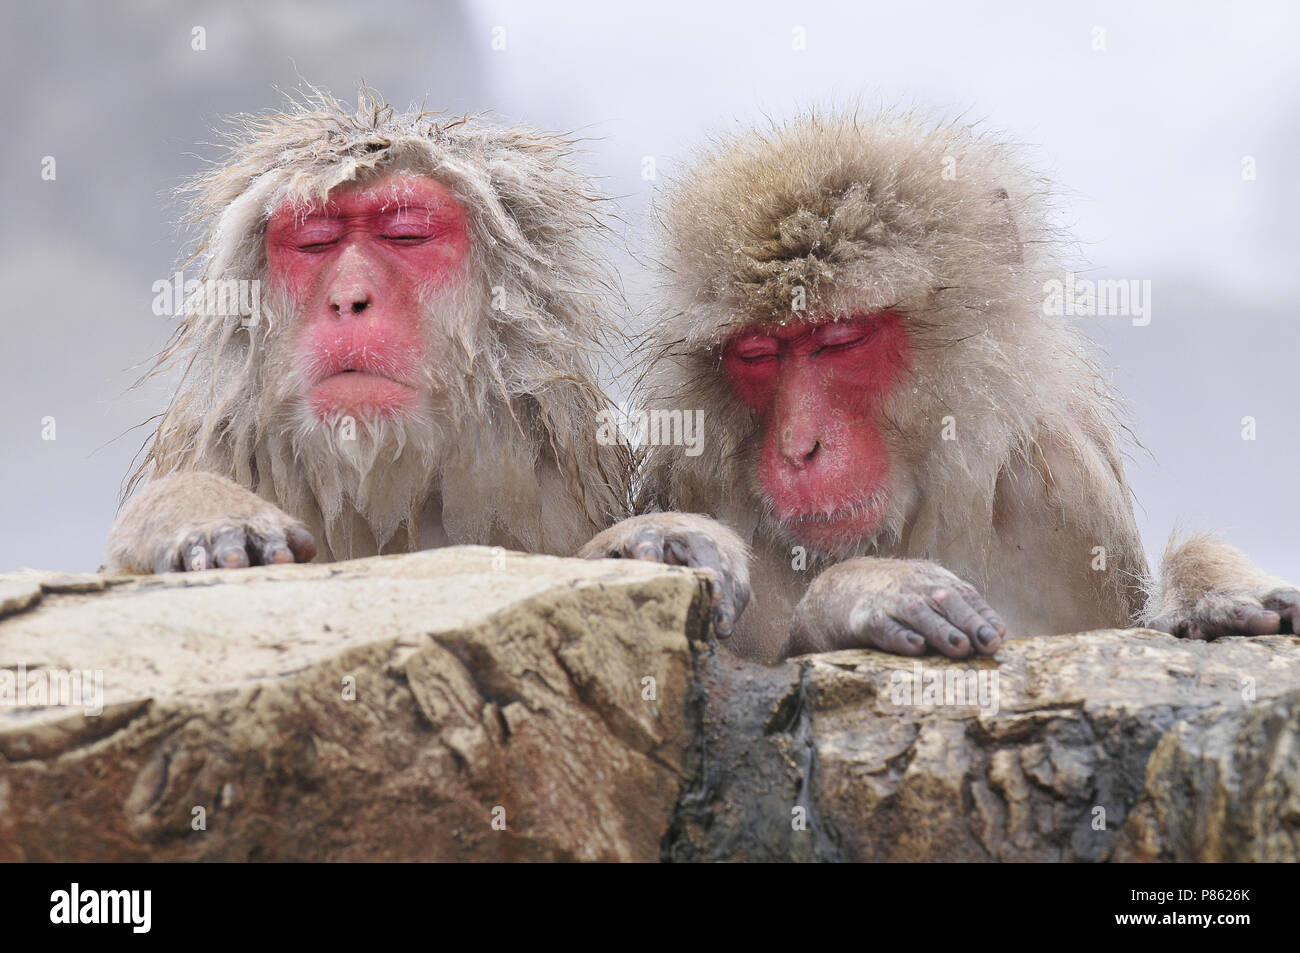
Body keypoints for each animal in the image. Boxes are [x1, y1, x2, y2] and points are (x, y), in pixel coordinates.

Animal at [582, 111, 1300, 660]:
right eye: (756, 353)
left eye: (841, 338)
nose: (798, 448)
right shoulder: (697, 477)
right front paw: (859, 592)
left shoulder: (1068, 493)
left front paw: (1216, 590)